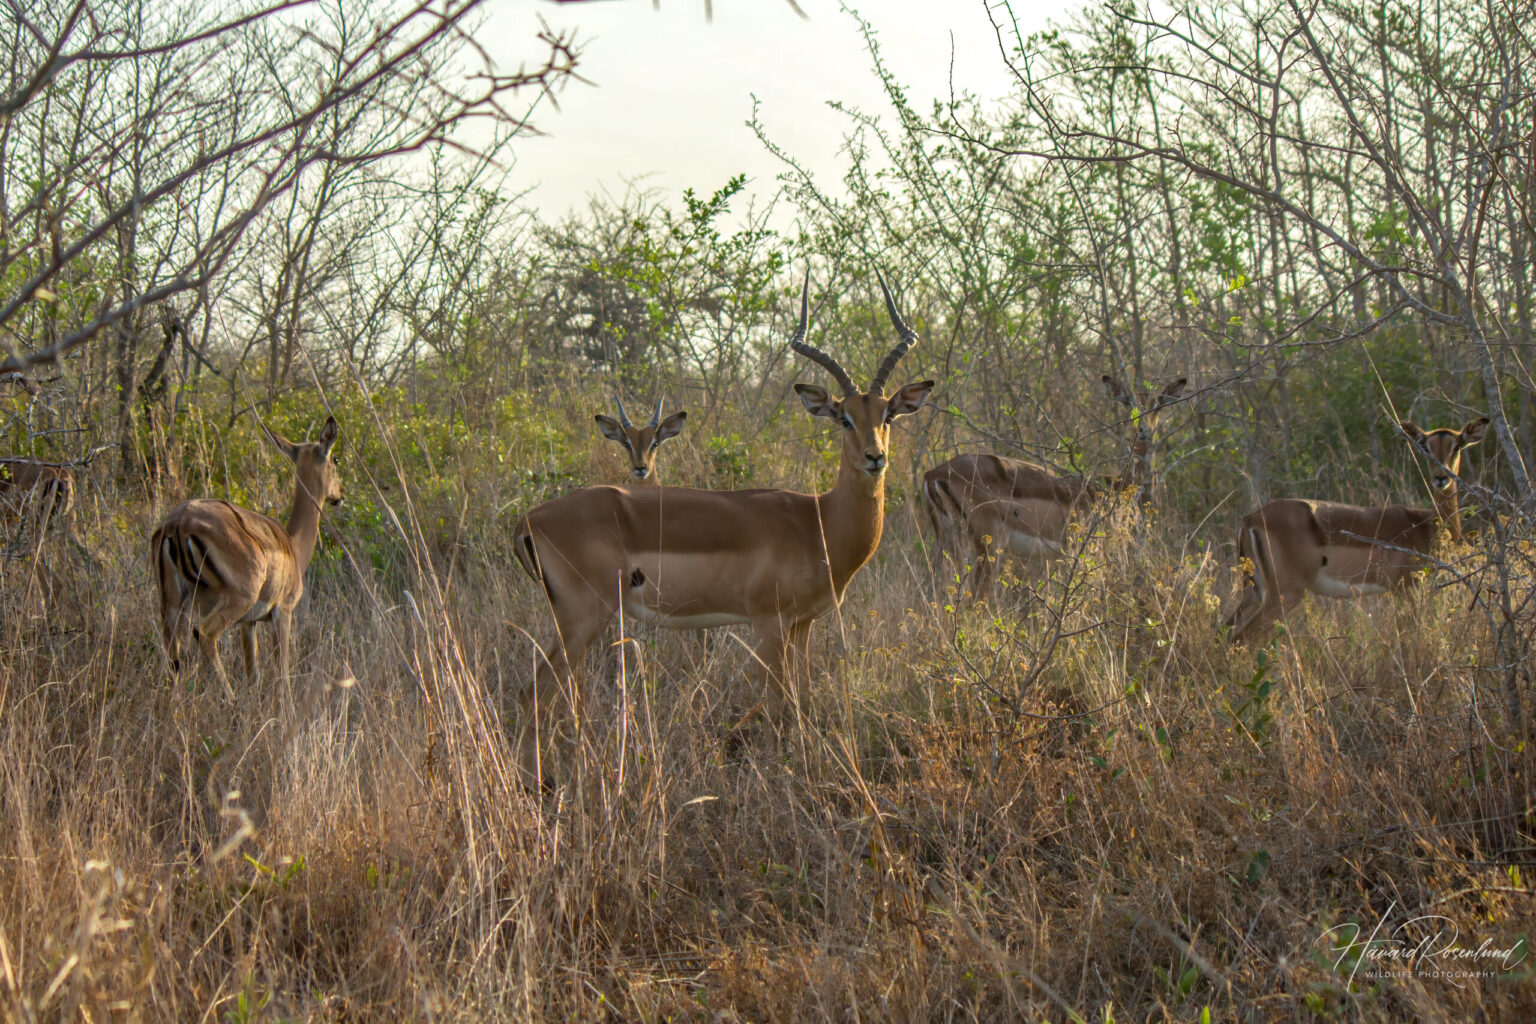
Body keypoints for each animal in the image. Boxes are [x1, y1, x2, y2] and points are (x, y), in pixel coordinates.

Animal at [152, 416, 343, 694]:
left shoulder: (248, 623)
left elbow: (253, 674)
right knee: (204, 635)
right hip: (236, 599)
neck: (292, 545)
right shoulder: (282, 612)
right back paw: (229, 698)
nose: (340, 494)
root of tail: (178, 524)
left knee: (172, 656)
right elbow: (282, 674)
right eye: (335, 459)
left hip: (171, 604)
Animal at [512, 270, 933, 778]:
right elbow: (777, 706)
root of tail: (528, 519)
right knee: (533, 695)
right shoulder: (767, 624)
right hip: (582, 618)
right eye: (844, 417)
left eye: (887, 413)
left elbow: (802, 699)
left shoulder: (803, 625)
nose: (876, 458)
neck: (818, 521)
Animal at [923, 375, 1186, 597]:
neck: (1113, 486)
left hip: (947, 542)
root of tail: (933, 474)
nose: (1143, 431)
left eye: (1158, 404)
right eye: (1129, 403)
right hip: (987, 546)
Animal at [1223, 416, 1487, 642]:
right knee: (1241, 638)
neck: (1427, 525)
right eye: (1425, 446)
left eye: (1457, 445)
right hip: (1284, 595)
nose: (1441, 477)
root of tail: (1250, 519)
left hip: (1255, 591)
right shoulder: (1406, 589)